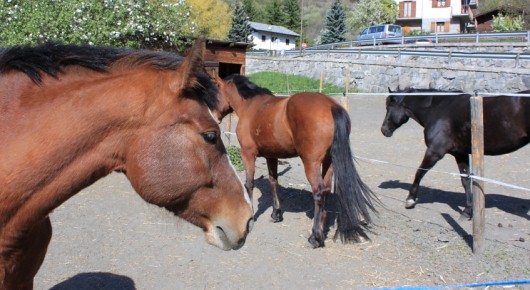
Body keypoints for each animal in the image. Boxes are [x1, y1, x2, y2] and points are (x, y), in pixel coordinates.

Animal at [212, 73, 378, 248]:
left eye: (214, 91)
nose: (214, 116)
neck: (250, 106)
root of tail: (331, 106)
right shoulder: (271, 156)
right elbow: (273, 181)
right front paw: (276, 214)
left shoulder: (247, 154)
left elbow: (249, 184)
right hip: (329, 162)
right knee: (325, 191)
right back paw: (320, 231)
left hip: (311, 164)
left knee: (318, 193)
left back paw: (315, 237)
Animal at [380, 88, 528, 218]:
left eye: (388, 107)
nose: (384, 130)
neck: (438, 109)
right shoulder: (460, 154)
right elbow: (465, 180)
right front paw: (467, 211)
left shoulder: (434, 152)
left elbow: (420, 172)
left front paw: (410, 199)